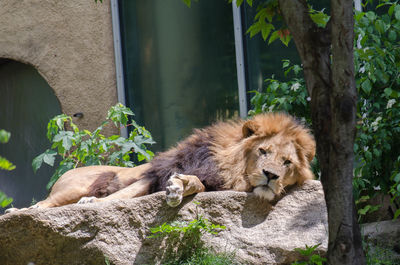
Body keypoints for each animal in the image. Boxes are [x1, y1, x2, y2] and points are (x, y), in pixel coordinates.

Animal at [4, 112, 314, 212]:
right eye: (263, 151)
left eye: (287, 162)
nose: (270, 175)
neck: (232, 168)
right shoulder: (152, 174)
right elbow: (124, 194)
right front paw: (94, 203)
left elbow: (197, 184)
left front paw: (179, 187)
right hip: (73, 187)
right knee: (40, 205)